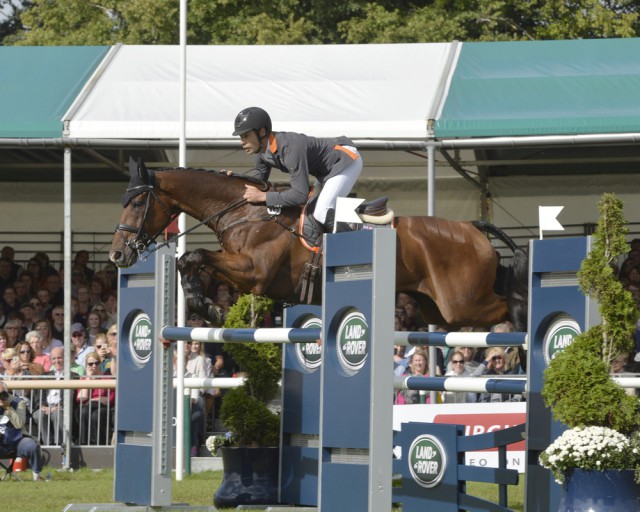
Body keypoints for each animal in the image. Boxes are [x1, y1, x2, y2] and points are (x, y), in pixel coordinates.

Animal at [110, 159, 528, 332]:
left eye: (136, 203)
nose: (117, 253)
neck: (247, 210)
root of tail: (472, 227)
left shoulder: (255, 274)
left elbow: (196, 255)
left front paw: (210, 308)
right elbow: (188, 261)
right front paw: (203, 305)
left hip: (461, 303)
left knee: (507, 305)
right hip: (434, 308)